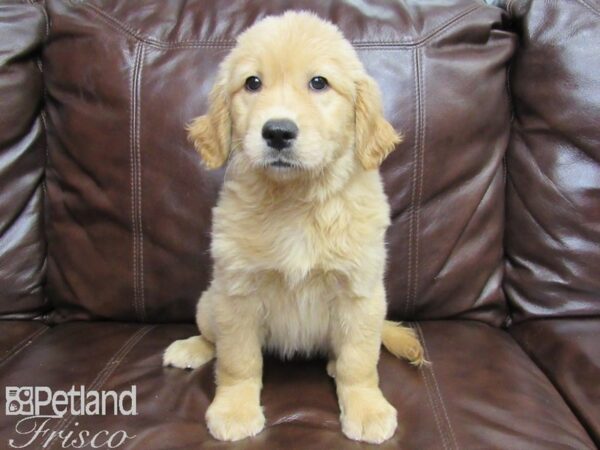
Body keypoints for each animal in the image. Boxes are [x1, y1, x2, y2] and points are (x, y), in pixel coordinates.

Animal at [164, 10, 424, 442]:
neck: (296, 201)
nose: (278, 132)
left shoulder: (361, 293)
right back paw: (191, 347)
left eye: (319, 82)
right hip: (208, 302)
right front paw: (235, 409)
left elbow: (359, 361)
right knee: (211, 337)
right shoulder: (236, 293)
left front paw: (366, 408)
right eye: (252, 83)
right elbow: (238, 361)